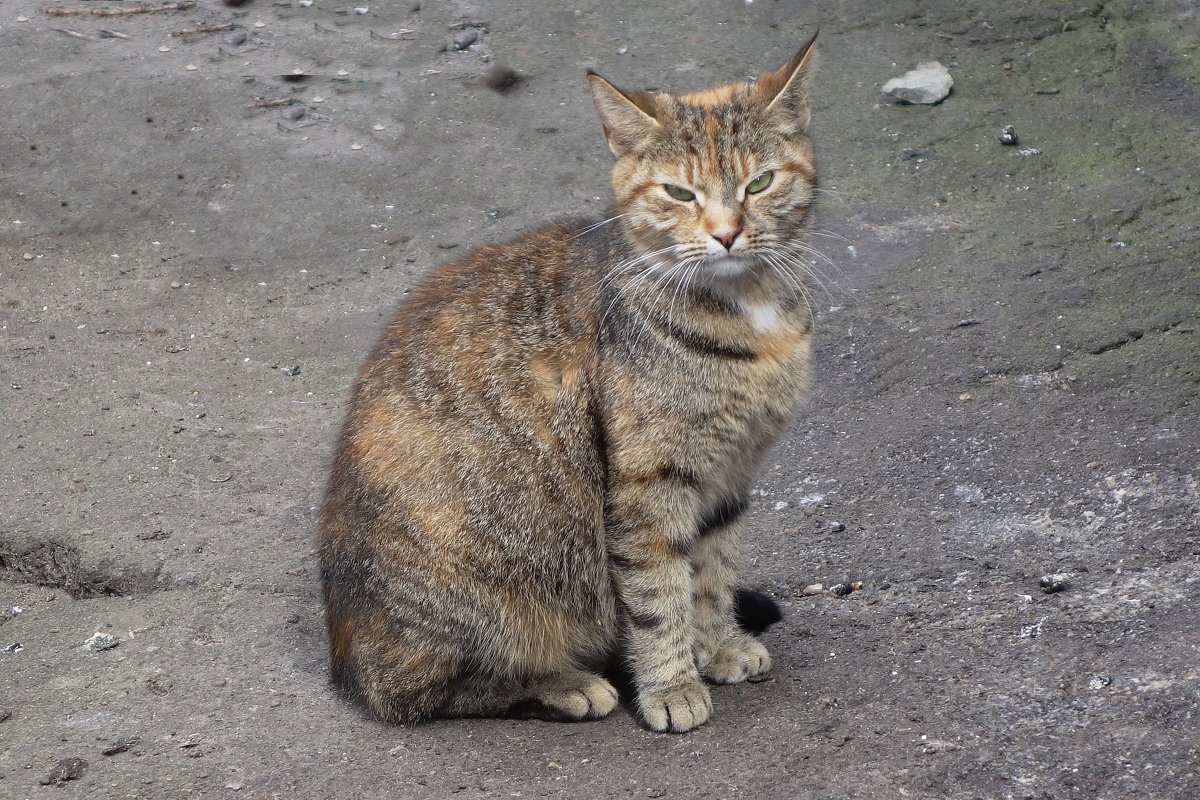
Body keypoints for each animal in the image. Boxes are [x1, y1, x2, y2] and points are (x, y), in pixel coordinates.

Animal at [319, 34, 820, 734]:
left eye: (761, 181)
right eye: (679, 193)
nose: (726, 234)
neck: (749, 315)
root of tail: (345, 656)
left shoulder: (731, 473)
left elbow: (713, 572)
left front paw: (717, 643)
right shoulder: (648, 485)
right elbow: (659, 594)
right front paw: (671, 685)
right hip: (482, 595)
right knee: (427, 691)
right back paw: (566, 682)